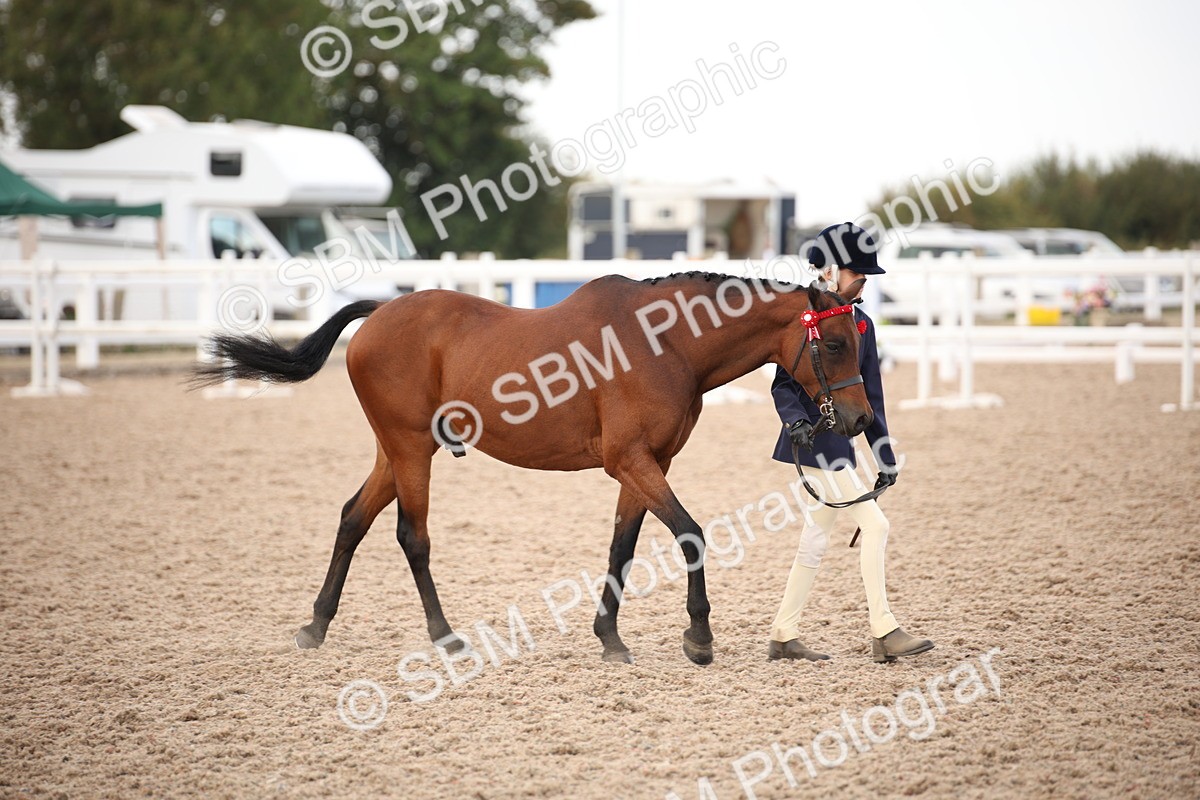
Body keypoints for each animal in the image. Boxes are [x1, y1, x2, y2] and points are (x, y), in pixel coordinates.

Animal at [191, 271, 871, 665]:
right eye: (836, 343)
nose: (861, 419)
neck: (665, 343)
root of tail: (381, 312)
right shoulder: (633, 461)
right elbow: (690, 533)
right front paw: (698, 638)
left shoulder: (646, 464)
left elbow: (622, 547)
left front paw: (609, 637)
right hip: (411, 451)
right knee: (412, 536)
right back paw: (444, 636)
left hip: (397, 451)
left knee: (352, 519)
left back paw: (316, 625)